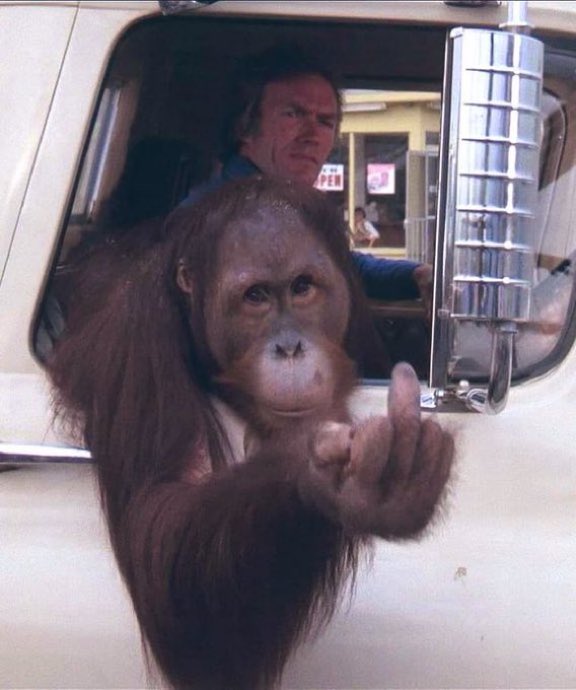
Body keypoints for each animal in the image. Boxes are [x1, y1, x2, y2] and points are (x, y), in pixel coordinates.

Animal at [48, 176, 453, 690]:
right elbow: (161, 544)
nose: (290, 347)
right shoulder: (135, 337)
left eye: (302, 287)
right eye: (256, 297)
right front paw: (338, 484)